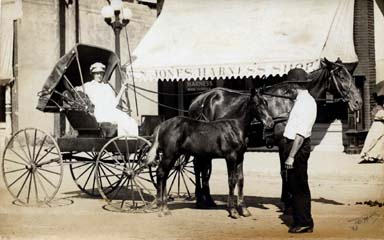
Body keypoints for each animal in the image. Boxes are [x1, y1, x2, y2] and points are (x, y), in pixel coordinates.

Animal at [146, 88, 274, 218]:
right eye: (257, 104)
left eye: (266, 103)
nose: (270, 123)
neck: (235, 127)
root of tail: (162, 125)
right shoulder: (231, 157)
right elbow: (231, 180)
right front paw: (233, 211)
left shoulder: (240, 157)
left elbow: (241, 180)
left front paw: (244, 210)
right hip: (169, 154)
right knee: (160, 172)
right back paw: (161, 208)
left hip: (174, 155)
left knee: (164, 174)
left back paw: (165, 208)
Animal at [189, 58, 364, 208]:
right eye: (341, 76)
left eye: (349, 75)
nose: (358, 102)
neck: (290, 99)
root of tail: (199, 99)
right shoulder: (282, 141)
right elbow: (283, 170)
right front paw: (287, 200)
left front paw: (287, 198)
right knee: (198, 166)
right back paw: (201, 199)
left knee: (203, 167)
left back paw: (207, 199)